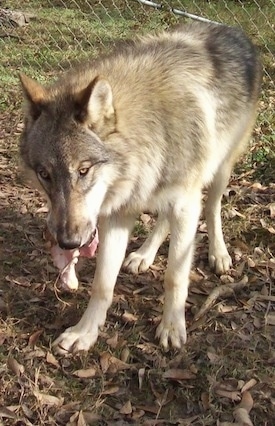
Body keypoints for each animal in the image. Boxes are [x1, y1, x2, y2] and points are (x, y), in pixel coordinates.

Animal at [20, 22, 264, 352]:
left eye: (83, 170)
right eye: (44, 174)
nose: (68, 243)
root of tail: (230, 29)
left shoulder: (185, 202)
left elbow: (175, 275)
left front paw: (172, 327)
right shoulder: (118, 215)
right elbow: (102, 285)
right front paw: (85, 333)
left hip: (219, 170)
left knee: (212, 209)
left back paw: (219, 254)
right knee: (163, 219)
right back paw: (144, 255)